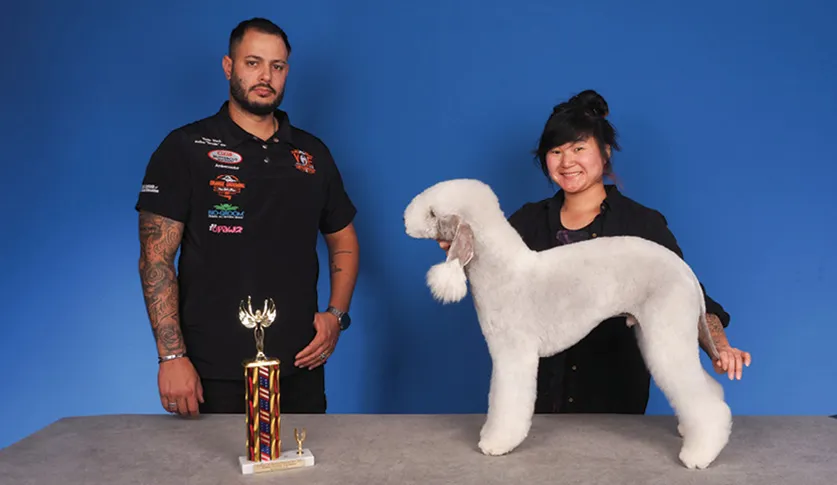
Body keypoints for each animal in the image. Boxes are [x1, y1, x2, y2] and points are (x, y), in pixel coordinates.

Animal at [402, 179, 728, 468]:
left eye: (432, 213)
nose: (405, 219)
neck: (502, 269)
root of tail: (687, 272)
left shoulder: (513, 355)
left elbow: (507, 403)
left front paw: (496, 442)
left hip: (667, 330)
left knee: (703, 400)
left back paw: (700, 453)